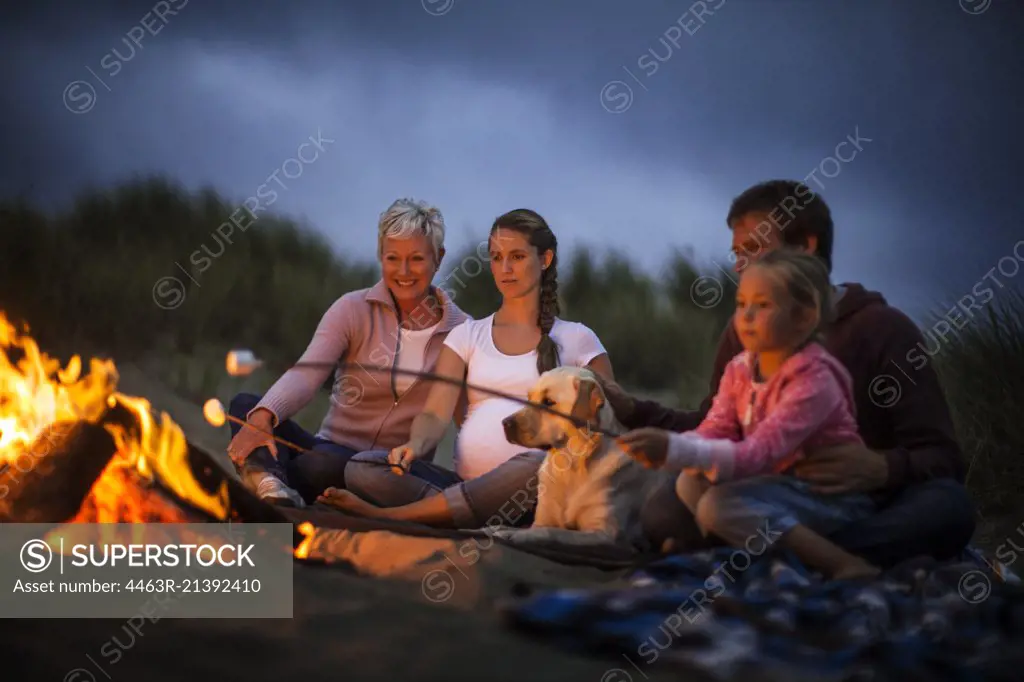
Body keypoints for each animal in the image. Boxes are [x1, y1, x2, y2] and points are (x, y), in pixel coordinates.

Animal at [493, 364, 655, 557]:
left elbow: (553, 532)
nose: (505, 423)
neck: (569, 465)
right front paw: (504, 529)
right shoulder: (542, 519)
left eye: (548, 402)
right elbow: (537, 527)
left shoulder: (607, 537)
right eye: (529, 397)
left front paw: (516, 535)